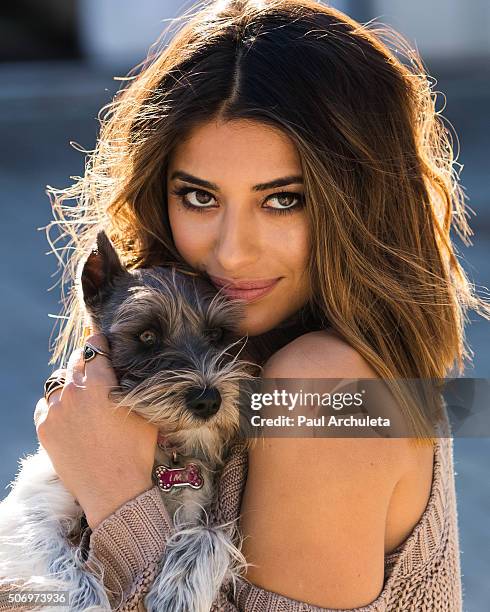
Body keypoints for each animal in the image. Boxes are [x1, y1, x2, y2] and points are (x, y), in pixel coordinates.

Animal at [0, 231, 258, 612]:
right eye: (147, 336)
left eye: (217, 335)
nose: (208, 401)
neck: (164, 453)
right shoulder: (30, 515)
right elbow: (70, 574)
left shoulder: (194, 506)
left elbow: (211, 533)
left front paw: (176, 593)